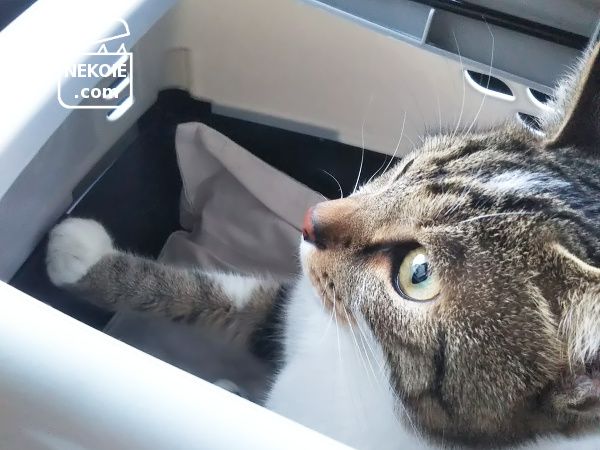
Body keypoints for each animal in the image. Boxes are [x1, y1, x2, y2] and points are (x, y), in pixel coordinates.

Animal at [46, 42, 600, 449]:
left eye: (418, 274)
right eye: (407, 166)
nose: (311, 219)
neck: (362, 357)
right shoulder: (296, 311)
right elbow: (225, 299)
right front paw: (86, 260)